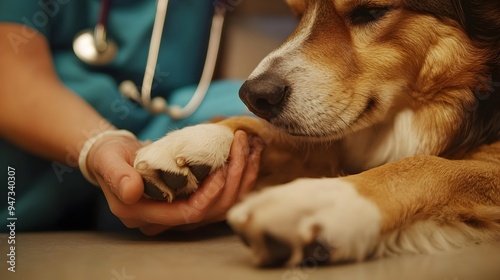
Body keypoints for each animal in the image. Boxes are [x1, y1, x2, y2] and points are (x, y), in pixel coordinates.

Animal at [134, 0, 500, 266]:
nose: (254, 96)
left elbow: (427, 166)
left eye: (371, 11)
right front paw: (198, 137)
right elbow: (279, 137)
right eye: (297, 13)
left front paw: (320, 200)